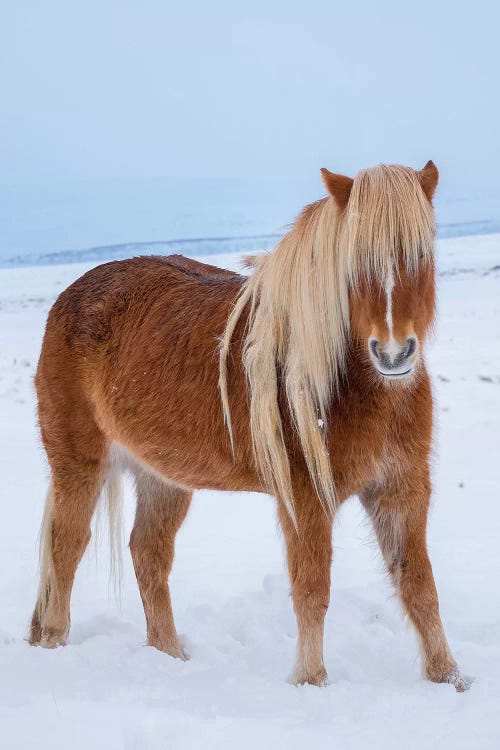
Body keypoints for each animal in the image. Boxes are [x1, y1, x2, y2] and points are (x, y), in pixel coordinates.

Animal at [29, 160, 468, 692]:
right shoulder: (305, 498)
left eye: (421, 254)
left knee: (148, 554)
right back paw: (54, 643)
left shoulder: (402, 489)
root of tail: (67, 299)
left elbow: (419, 585)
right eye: (355, 263)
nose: (393, 353)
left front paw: (449, 677)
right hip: (79, 463)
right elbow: (312, 588)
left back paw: (171, 656)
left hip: (162, 478)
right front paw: (312, 681)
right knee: (66, 546)